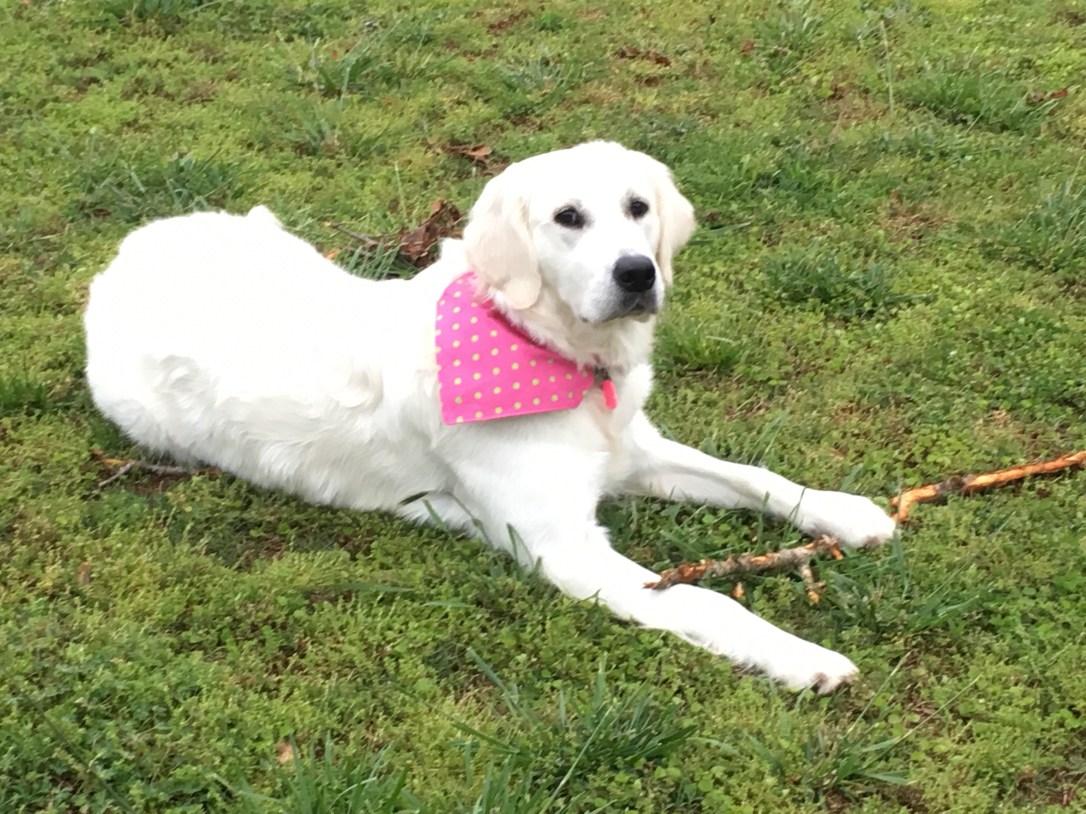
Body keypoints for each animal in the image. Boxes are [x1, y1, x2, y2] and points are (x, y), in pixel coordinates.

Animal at [84, 141, 896, 692]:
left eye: (638, 208)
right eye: (568, 218)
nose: (638, 273)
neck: (544, 346)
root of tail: (130, 249)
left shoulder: (632, 451)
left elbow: (755, 476)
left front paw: (848, 513)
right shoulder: (565, 548)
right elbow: (701, 597)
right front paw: (802, 656)